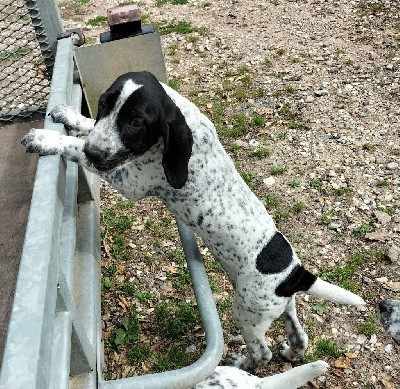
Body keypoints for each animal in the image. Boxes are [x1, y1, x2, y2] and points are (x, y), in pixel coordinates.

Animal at [22, 71, 366, 372]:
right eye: (104, 104)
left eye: (135, 122)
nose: (96, 151)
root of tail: (295, 273)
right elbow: (88, 127)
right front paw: (71, 116)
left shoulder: (130, 180)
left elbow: (76, 147)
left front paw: (46, 138)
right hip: (275, 306)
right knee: (299, 333)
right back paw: (292, 351)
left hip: (247, 313)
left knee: (262, 353)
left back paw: (241, 362)